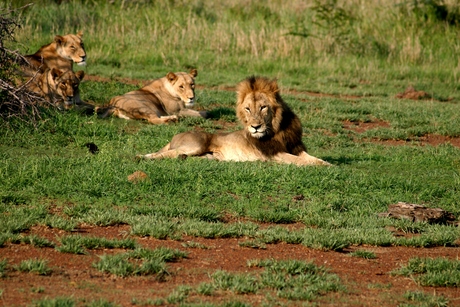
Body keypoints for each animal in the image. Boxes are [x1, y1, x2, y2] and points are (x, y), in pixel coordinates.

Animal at [140, 76, 330, 167]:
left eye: (263, 107)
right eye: (247, 109)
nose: (255, 127)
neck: (277, 130)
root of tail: (176, 135)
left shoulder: (295, 147)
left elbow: (314, 158)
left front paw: (329, 164)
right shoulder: (274, 154)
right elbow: (300, 161)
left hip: (207, 156)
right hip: (195, 145)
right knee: (163, 154)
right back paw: (142, 157)